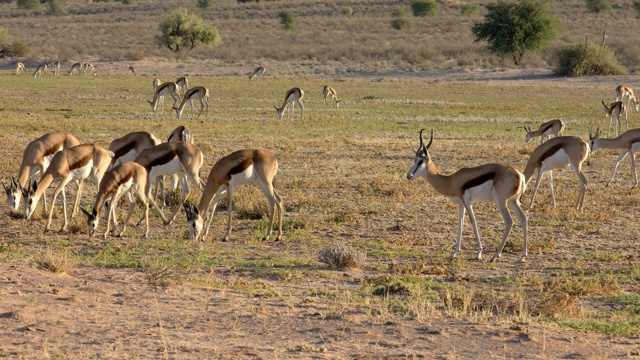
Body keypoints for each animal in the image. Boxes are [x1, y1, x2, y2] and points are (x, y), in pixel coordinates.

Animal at [408, 129, 528, 262]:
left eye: (420, 161)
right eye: (414, 159)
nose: (409, 175)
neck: (451, 180)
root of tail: (519, 175)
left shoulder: (467, 201)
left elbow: (473, 221)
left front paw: (479, 253)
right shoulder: (461, 204)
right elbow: (460, 224)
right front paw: (454, 253)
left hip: (501, 202)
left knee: (509, 222)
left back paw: (495, 256)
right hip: (513, 202)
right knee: (523, 218)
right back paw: (522, 256)